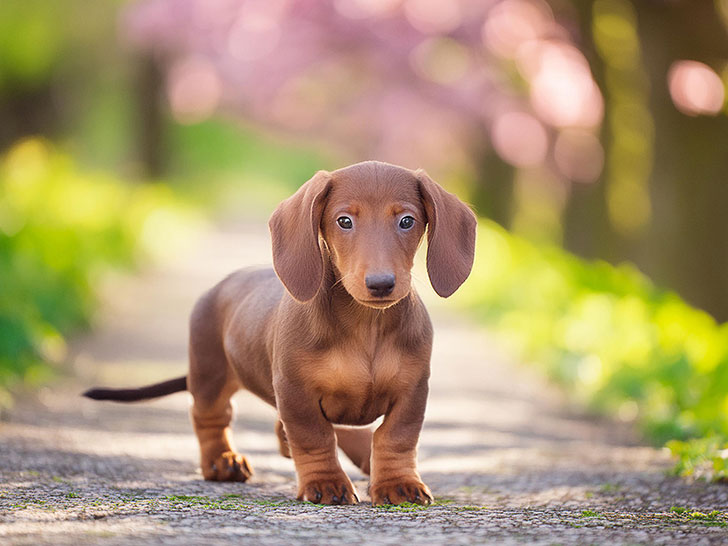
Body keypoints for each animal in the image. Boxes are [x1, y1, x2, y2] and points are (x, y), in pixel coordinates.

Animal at [84, 159, 478, 504]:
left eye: (407, 221)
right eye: (344, 221)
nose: (381, 284)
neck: (366, 326)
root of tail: (220, 286)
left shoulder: (413, 390)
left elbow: (395, 437)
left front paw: (398, 483)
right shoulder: (295, 390)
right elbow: (314, 436)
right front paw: (325, 482)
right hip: (210, 372)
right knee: (210, 417)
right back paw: (221, 461)